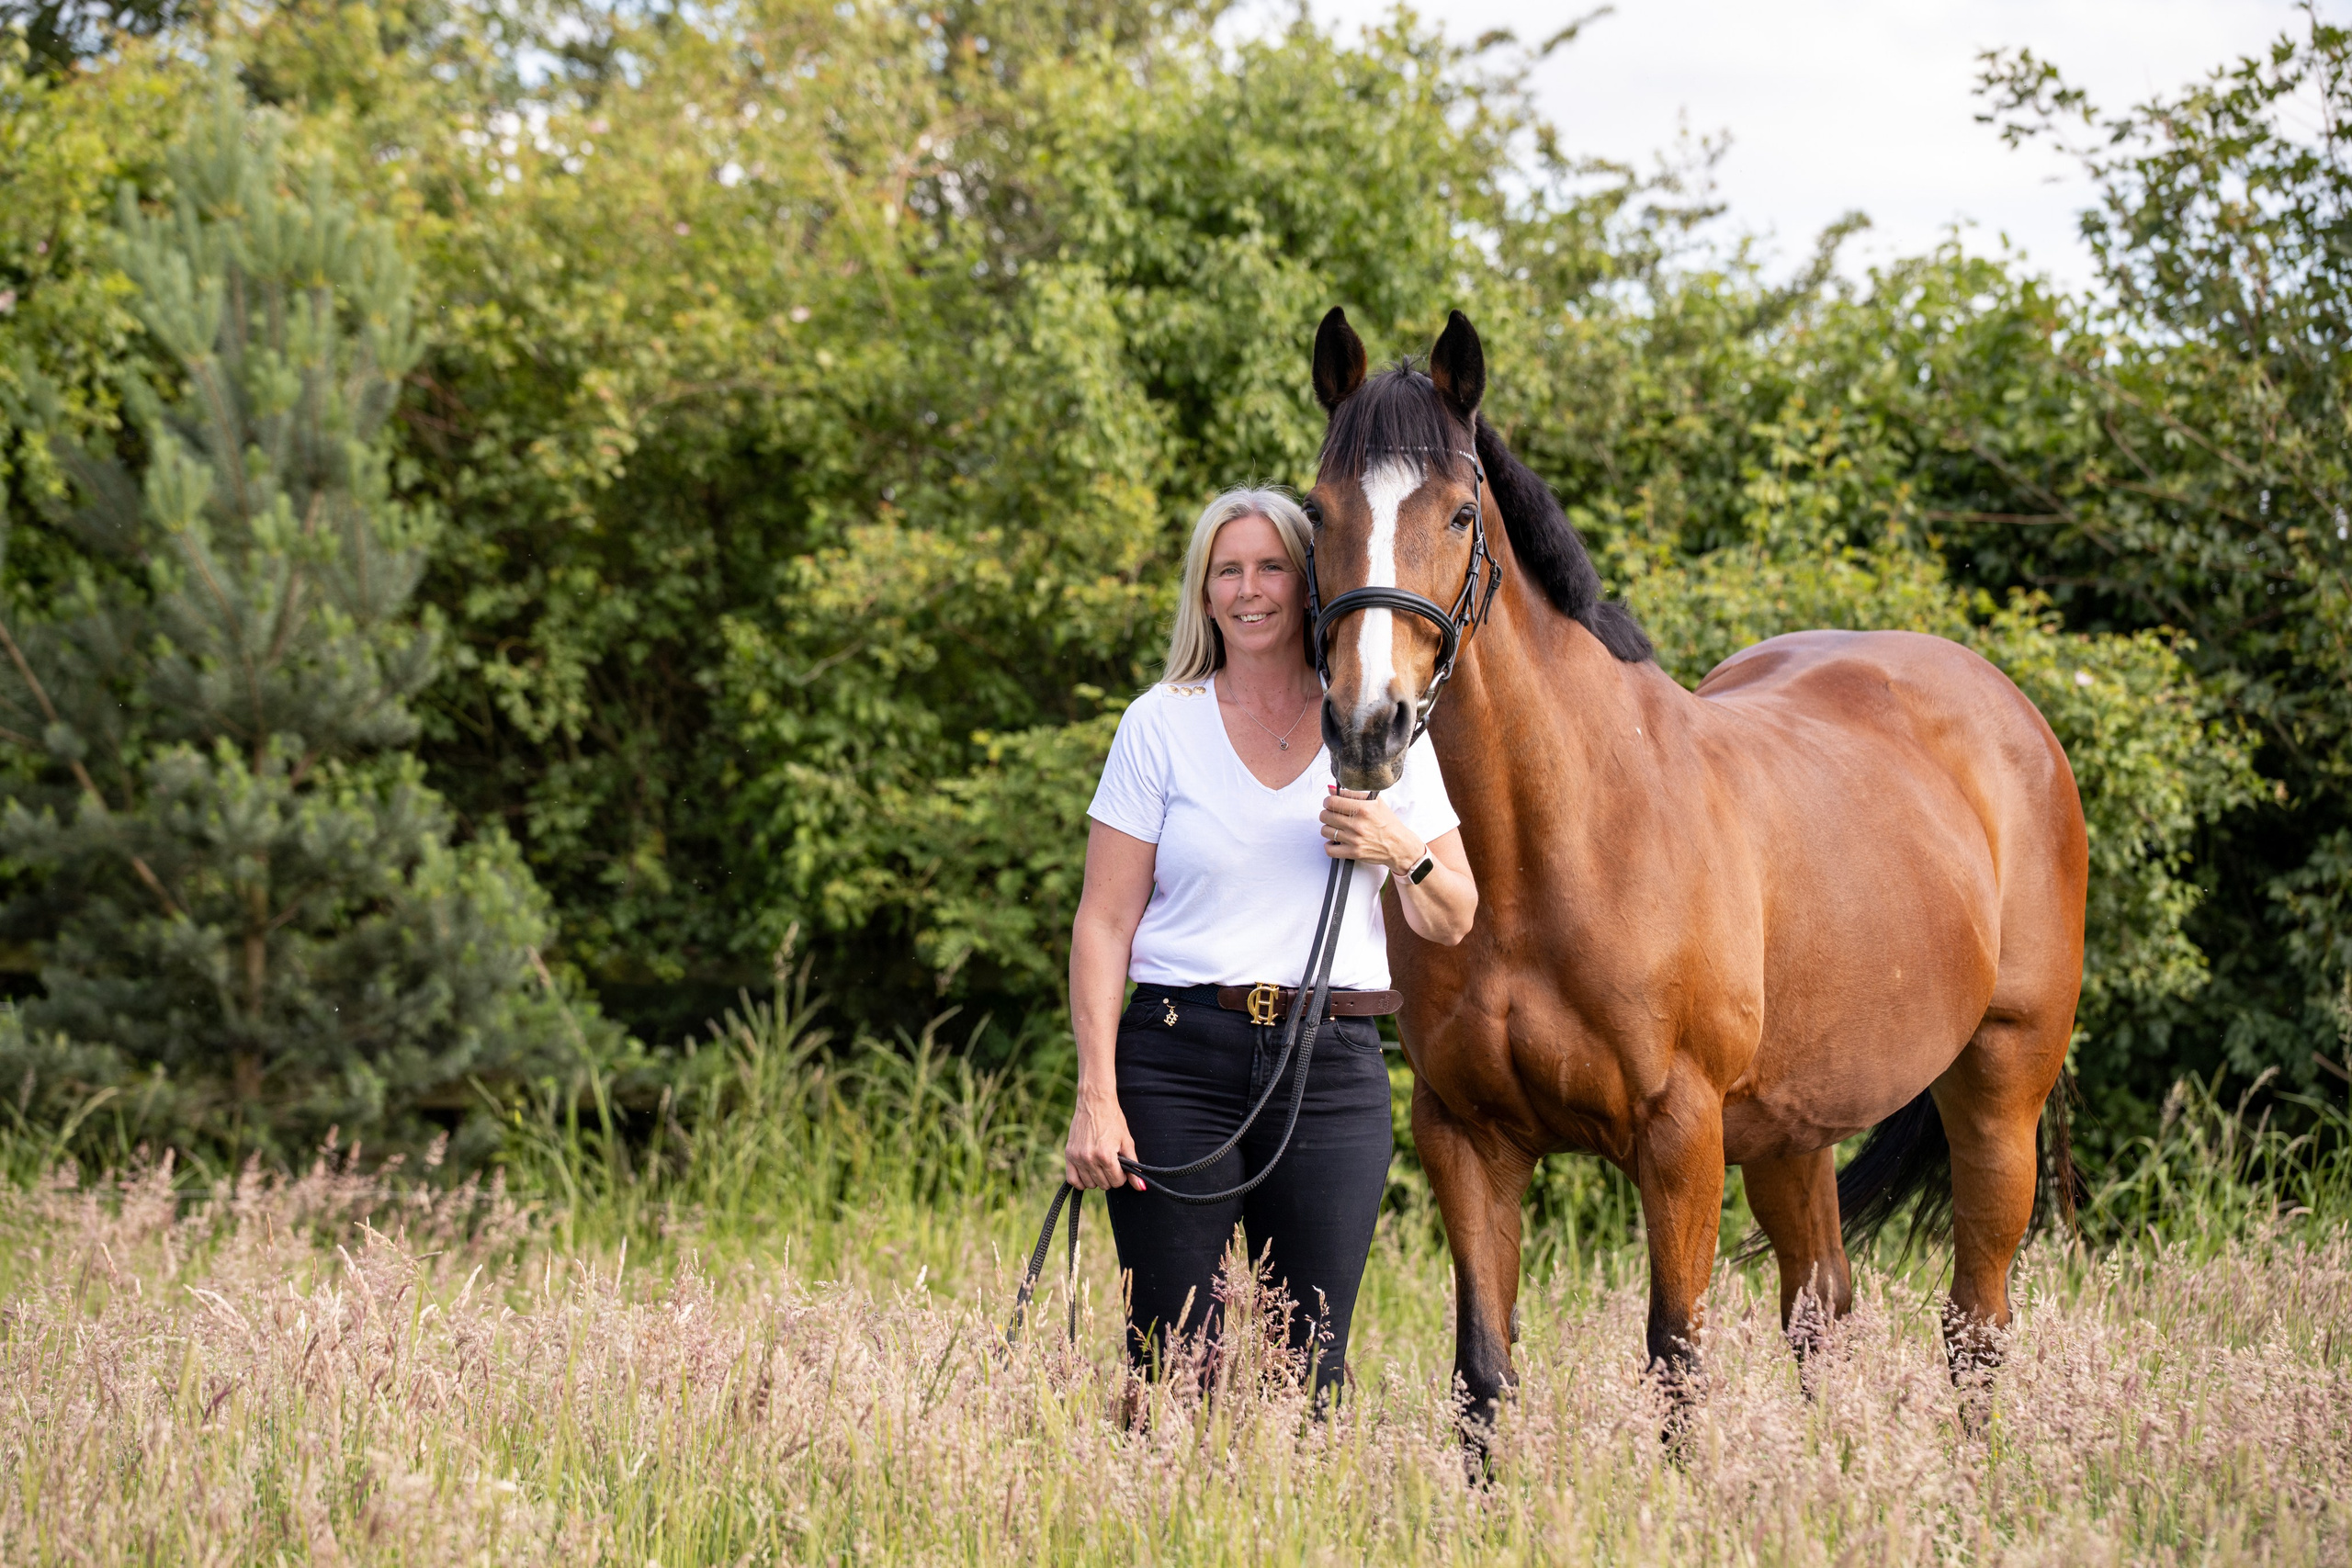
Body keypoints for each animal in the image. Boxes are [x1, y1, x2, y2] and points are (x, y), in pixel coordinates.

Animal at [1301, 306, 2087, 1438]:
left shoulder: (1680, 1135)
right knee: (1822, 1313)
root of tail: (2011, 712)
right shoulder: (1467, 1137)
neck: (1551, 850)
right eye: (1317, 512)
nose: (1368, 726)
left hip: (1998, 1087)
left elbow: (1676, 1362)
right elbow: (1482, 1377)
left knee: (1974, 1326)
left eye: (1457, 514)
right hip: (1794, 1125)